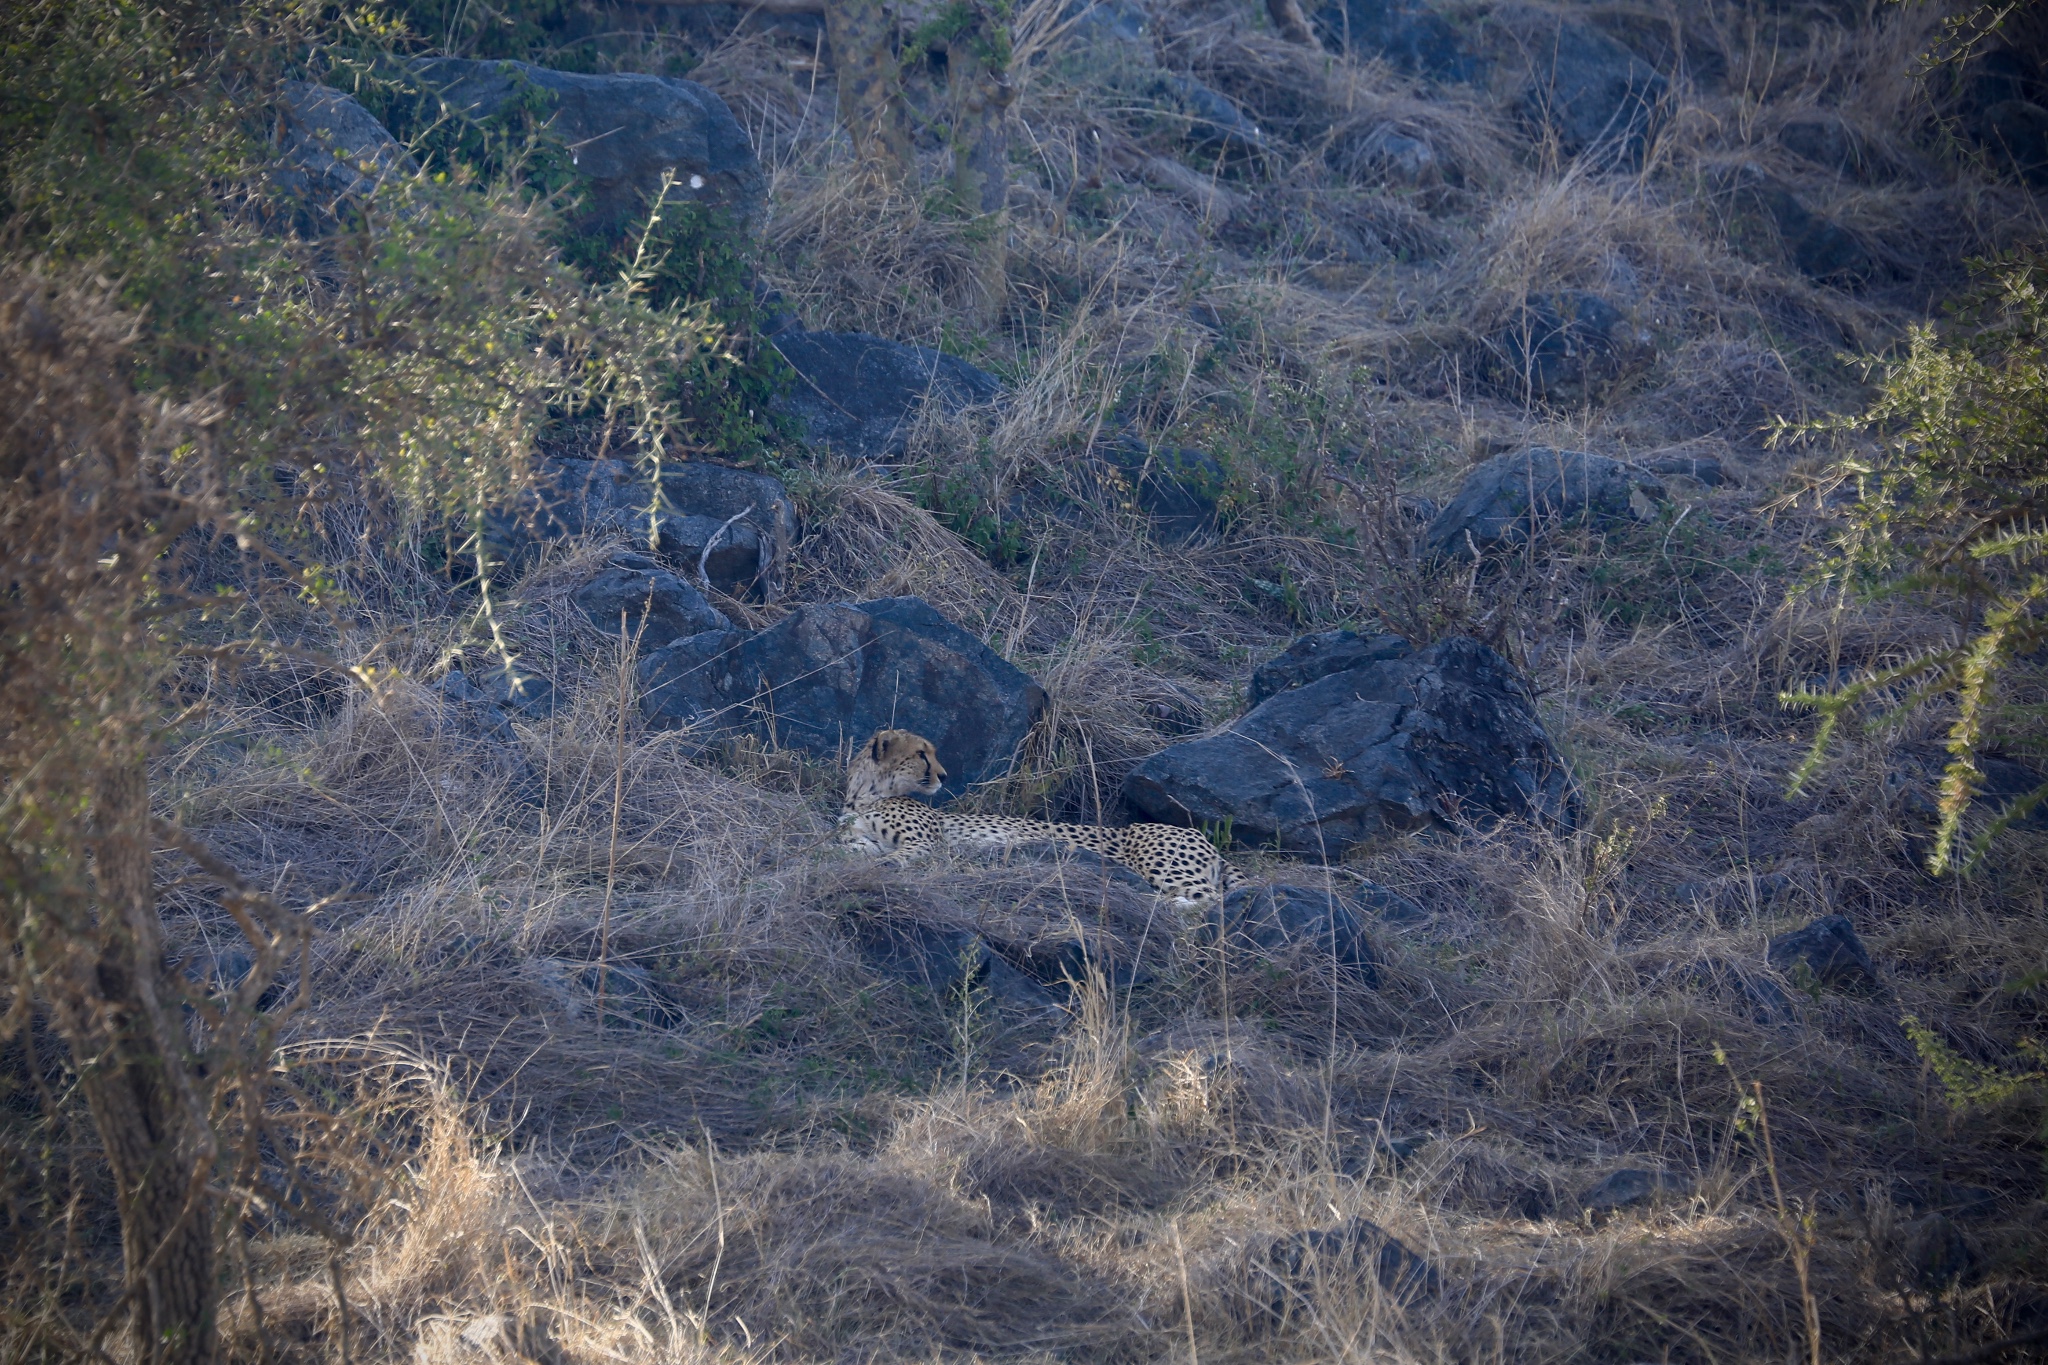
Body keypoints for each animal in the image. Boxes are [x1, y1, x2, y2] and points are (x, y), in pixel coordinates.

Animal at [835, 724, 1245, 908]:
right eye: (922, 754)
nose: (944, 775)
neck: (866, 795)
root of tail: (1200, 837)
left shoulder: (926, 842)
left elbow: (898, 856)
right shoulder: (862, 839)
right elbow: (851, 850)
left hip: (1163, 865)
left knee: (1212, 899)